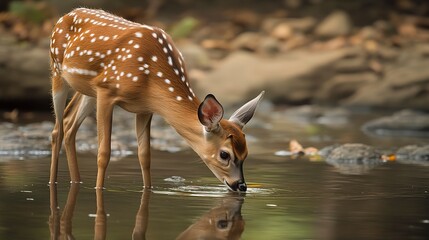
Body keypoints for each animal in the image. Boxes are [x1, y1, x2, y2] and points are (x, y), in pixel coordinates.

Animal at [48, 7, 262, 191]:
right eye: (225, 154)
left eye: (246, 153)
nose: (241, 186)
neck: (150, 74)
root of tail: (66, 15)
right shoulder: (106, 91)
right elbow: (103, 153)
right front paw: (99, 189)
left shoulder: (145, 107)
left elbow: (145, 155)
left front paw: (148, 189)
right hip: (57, 71)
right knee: (57, 130)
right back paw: (53, 182)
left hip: (86, 89)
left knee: (69, 123)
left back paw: (76, 181)